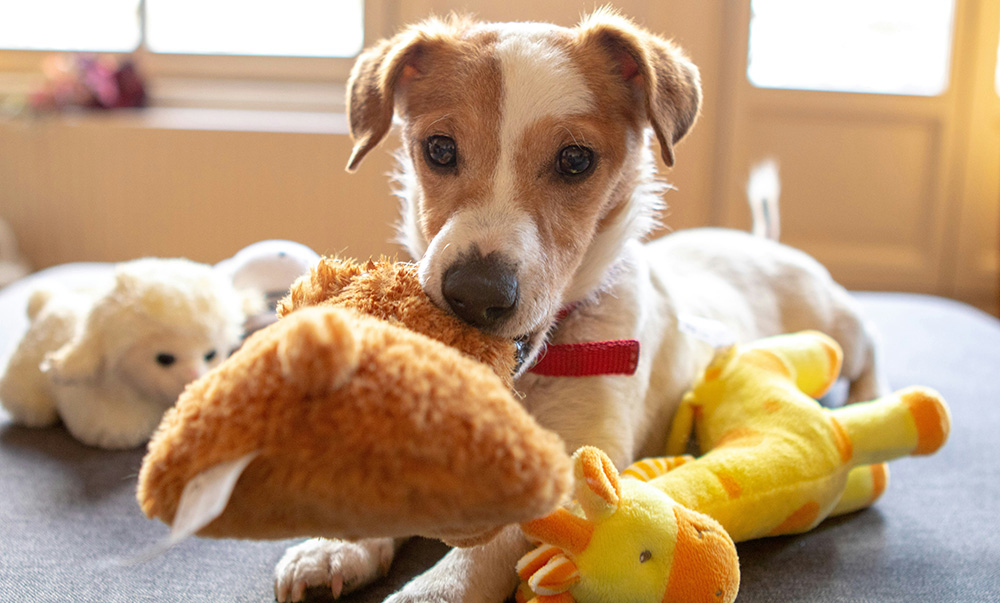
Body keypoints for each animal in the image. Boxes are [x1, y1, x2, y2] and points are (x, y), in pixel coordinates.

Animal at [272, 9, 884, 603]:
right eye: (439, 149)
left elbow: (498, 542)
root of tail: (761, 242)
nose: (476, 293)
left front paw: (435, 589)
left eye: (575, 160)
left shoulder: (587, 457)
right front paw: (337, 546)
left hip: (839, 329)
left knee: (869, 352)